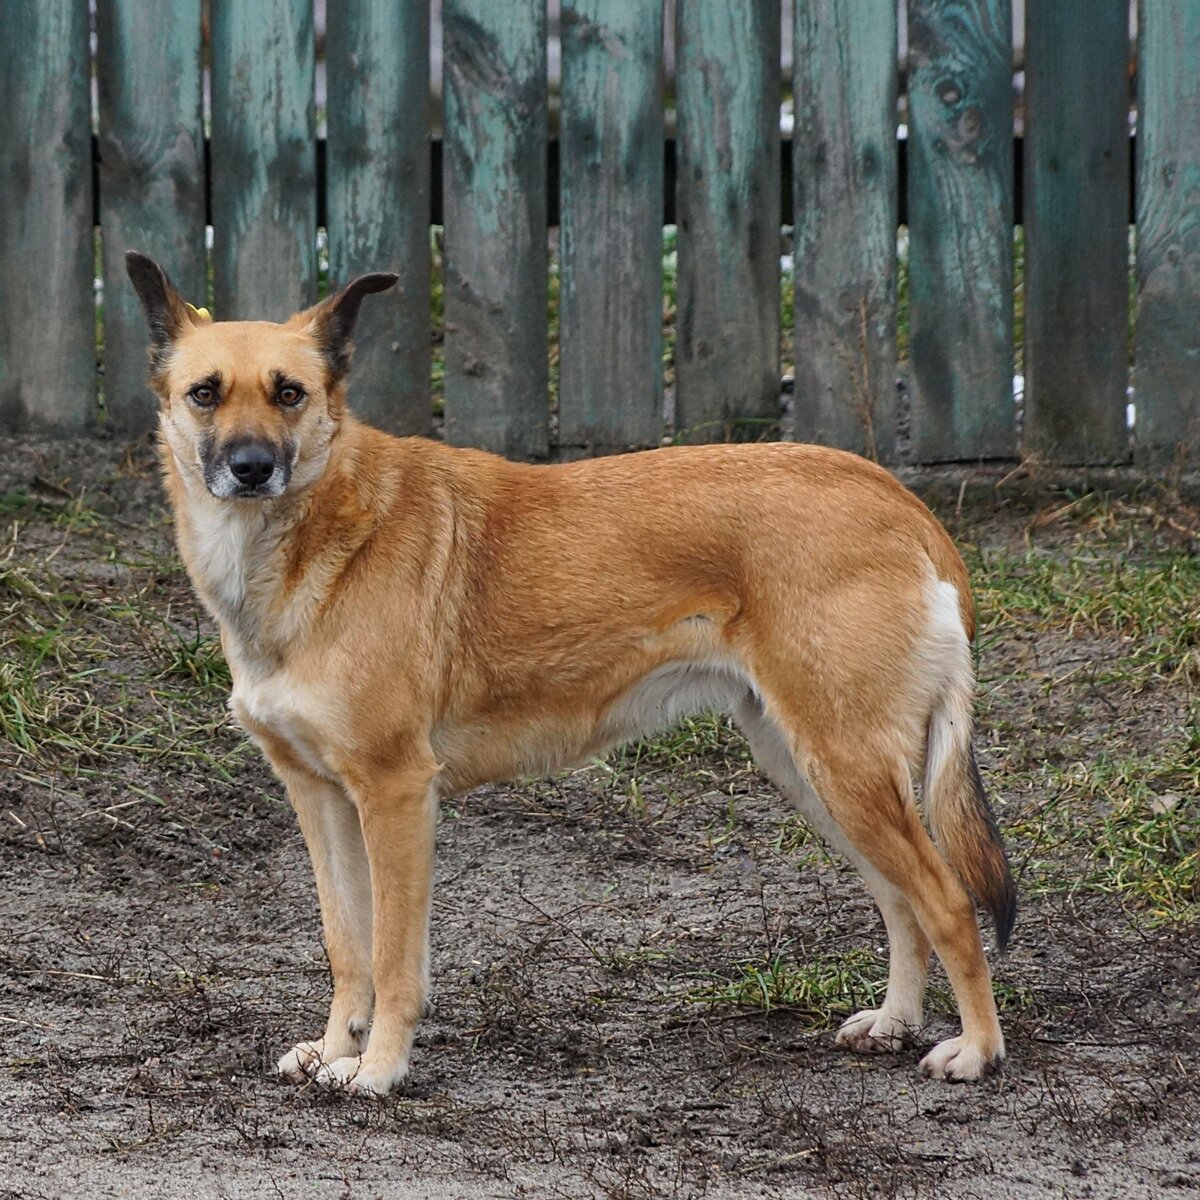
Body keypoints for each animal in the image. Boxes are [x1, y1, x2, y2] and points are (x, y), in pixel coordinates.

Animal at [129, 250, 1012, 1099]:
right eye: (205, 394)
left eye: (290, 394)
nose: (251, 468)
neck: (313, 539)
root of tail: (902, 502)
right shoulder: (320, 796)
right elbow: (346, 945)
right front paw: (335, 1050)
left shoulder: (395, 793)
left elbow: (393, 958)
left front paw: (378, 1069)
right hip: (811, 770)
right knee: (902, 901)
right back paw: (895, 1022)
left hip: (845, 768)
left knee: (946, 901)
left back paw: (976, 1050)